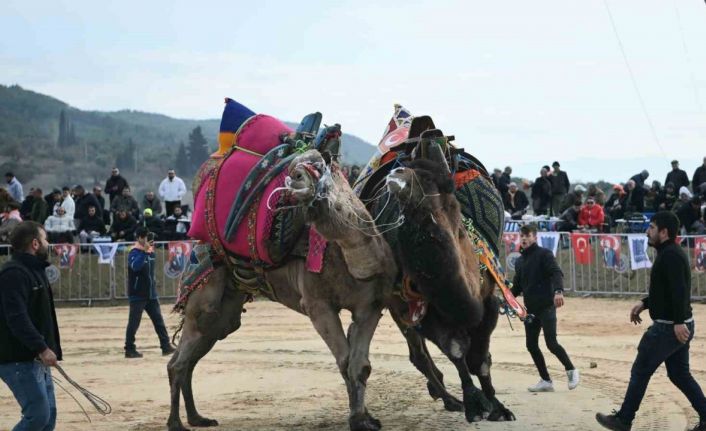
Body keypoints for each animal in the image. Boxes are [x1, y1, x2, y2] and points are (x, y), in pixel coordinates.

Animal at [166, 149, 396, 431]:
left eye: (312, 169)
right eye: (295, 171)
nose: (293, 182)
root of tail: (193, 246)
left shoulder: (370, 307)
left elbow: (360, 365)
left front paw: (366, 418)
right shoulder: (318, 305)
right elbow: (344, 362)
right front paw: (355, 419)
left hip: (225, 311)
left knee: (192, 356)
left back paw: (198, 418)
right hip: (203, 296)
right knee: (180, 361)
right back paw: (176, 422)